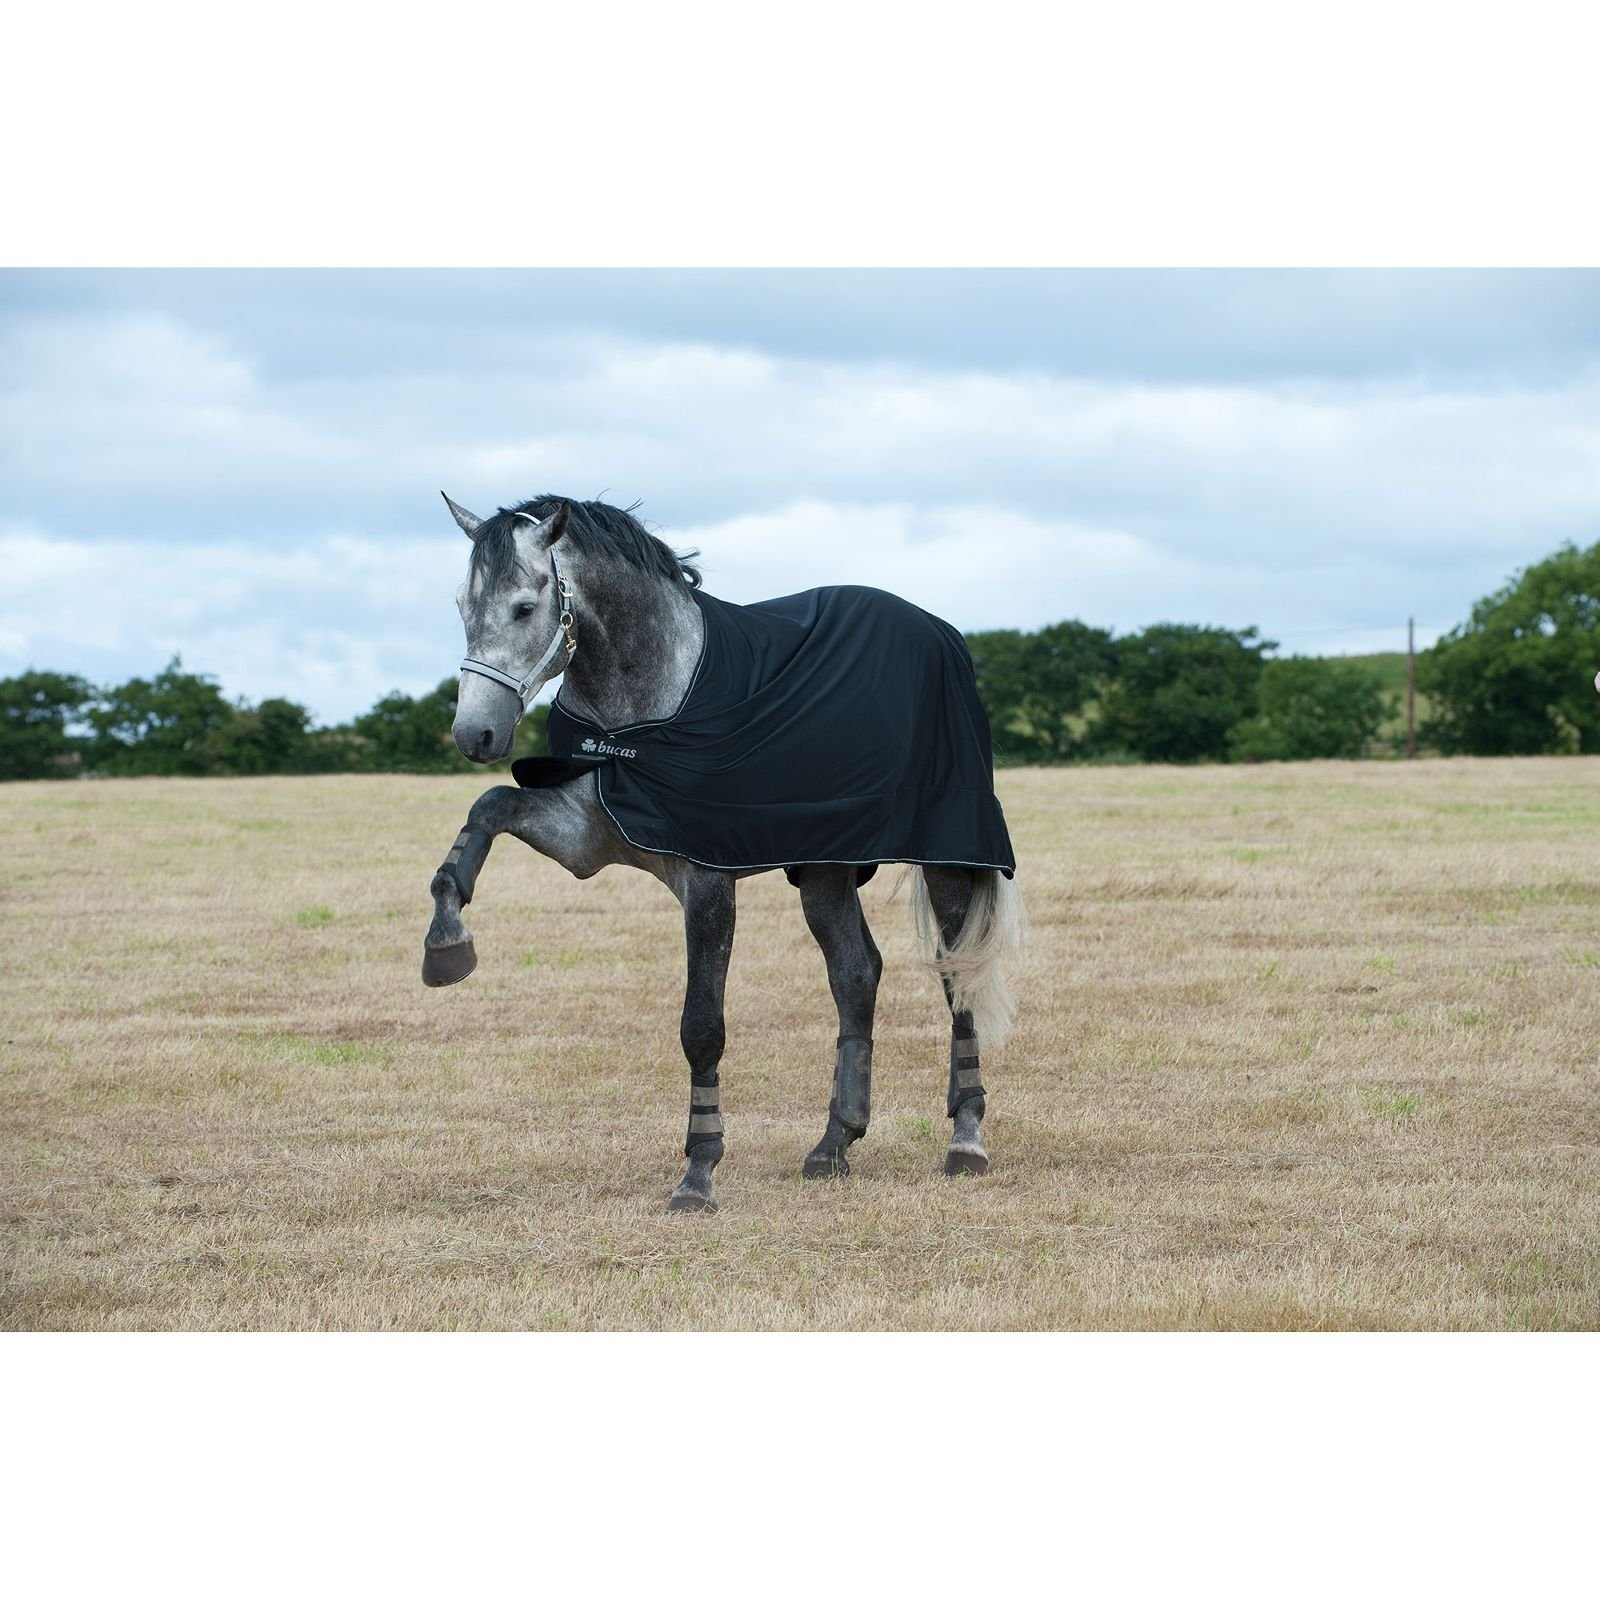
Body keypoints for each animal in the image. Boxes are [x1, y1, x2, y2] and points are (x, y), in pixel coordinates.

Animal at [421, 492, 1024, 1213]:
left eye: (523, 606)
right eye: (462, 604)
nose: (474, 734)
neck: (651, 703)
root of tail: (940, 633)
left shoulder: (707, 880)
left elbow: (701, 1025)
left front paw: (699, 1173)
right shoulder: (584, 836)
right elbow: (486, 808)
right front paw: (446, 941)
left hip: (946, 859)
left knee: (958, 975)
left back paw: (966, 1140)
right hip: (823, 868)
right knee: (856, 975)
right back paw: (834, 1143)